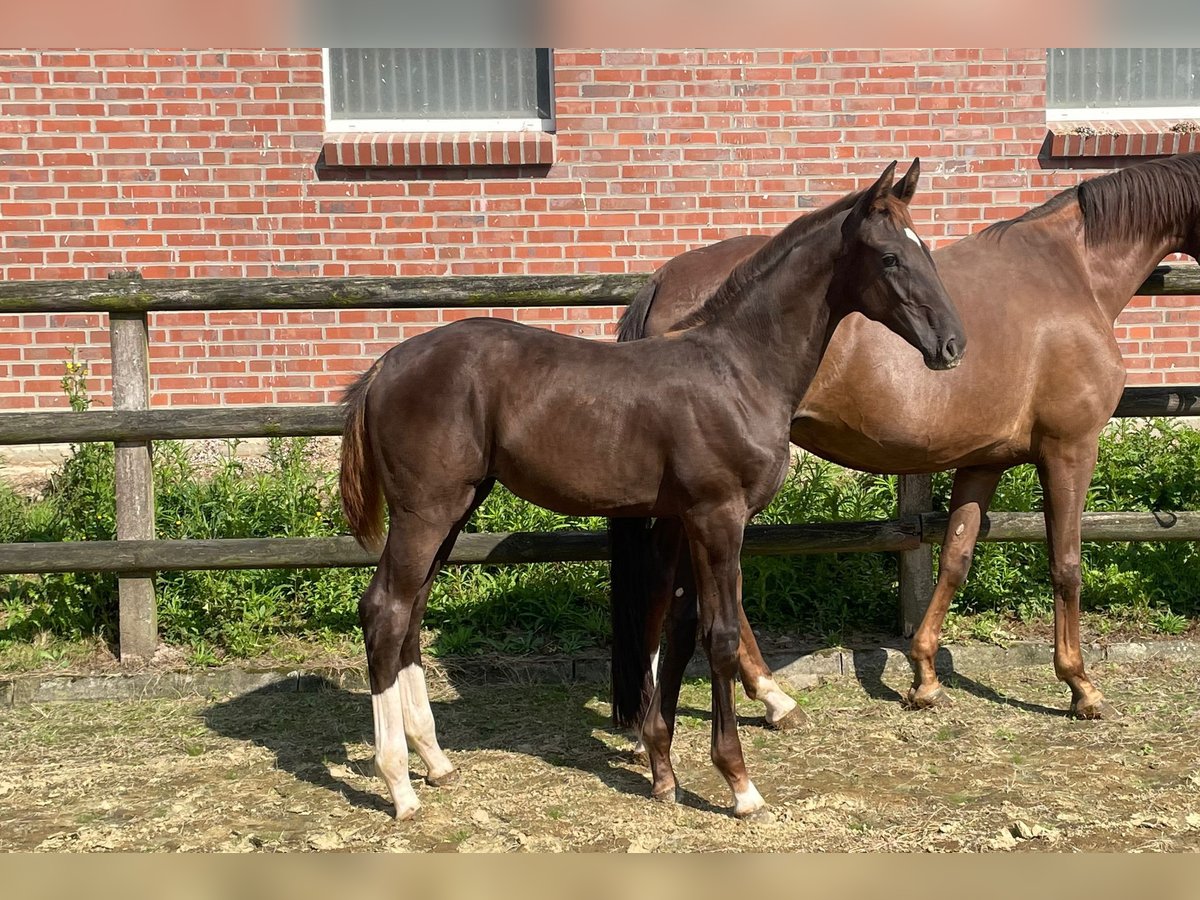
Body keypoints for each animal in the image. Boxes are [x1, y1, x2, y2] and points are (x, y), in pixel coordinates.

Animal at [338, 160, 964, 816]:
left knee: (411, 614)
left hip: (456, 509)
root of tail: (386, 366)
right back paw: (399, 784)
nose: (951, 345)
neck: (738, 369)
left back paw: (436, 761)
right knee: (385, 612)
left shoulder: (681, 520)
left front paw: (663, 771)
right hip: (426, 512)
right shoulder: (719, 516)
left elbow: (678, 632)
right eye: (891, 257)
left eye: (924, 250)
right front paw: (739, 782)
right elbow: (718, 637)